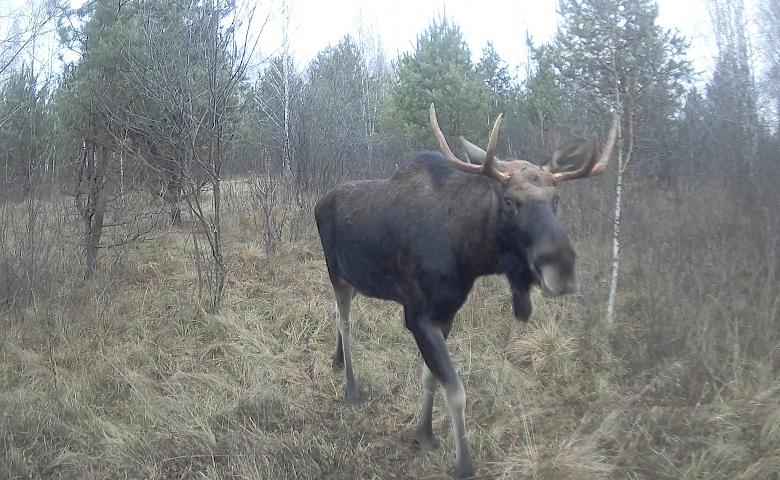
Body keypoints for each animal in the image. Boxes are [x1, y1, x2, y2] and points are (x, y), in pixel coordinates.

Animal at [314, 103, 618, 478]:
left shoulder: (447, 314)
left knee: (336, 313)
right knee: (345, 321)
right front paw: (463, 463)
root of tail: (319, 202)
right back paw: (352, 388)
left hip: (357, 279)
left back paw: (336, 360)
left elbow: (430, 379)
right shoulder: (418, 316)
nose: (562, 270)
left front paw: (425, 434)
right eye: (508, 201)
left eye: (556, 198)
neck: (468, 254)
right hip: (336, 271)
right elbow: (456, 389)